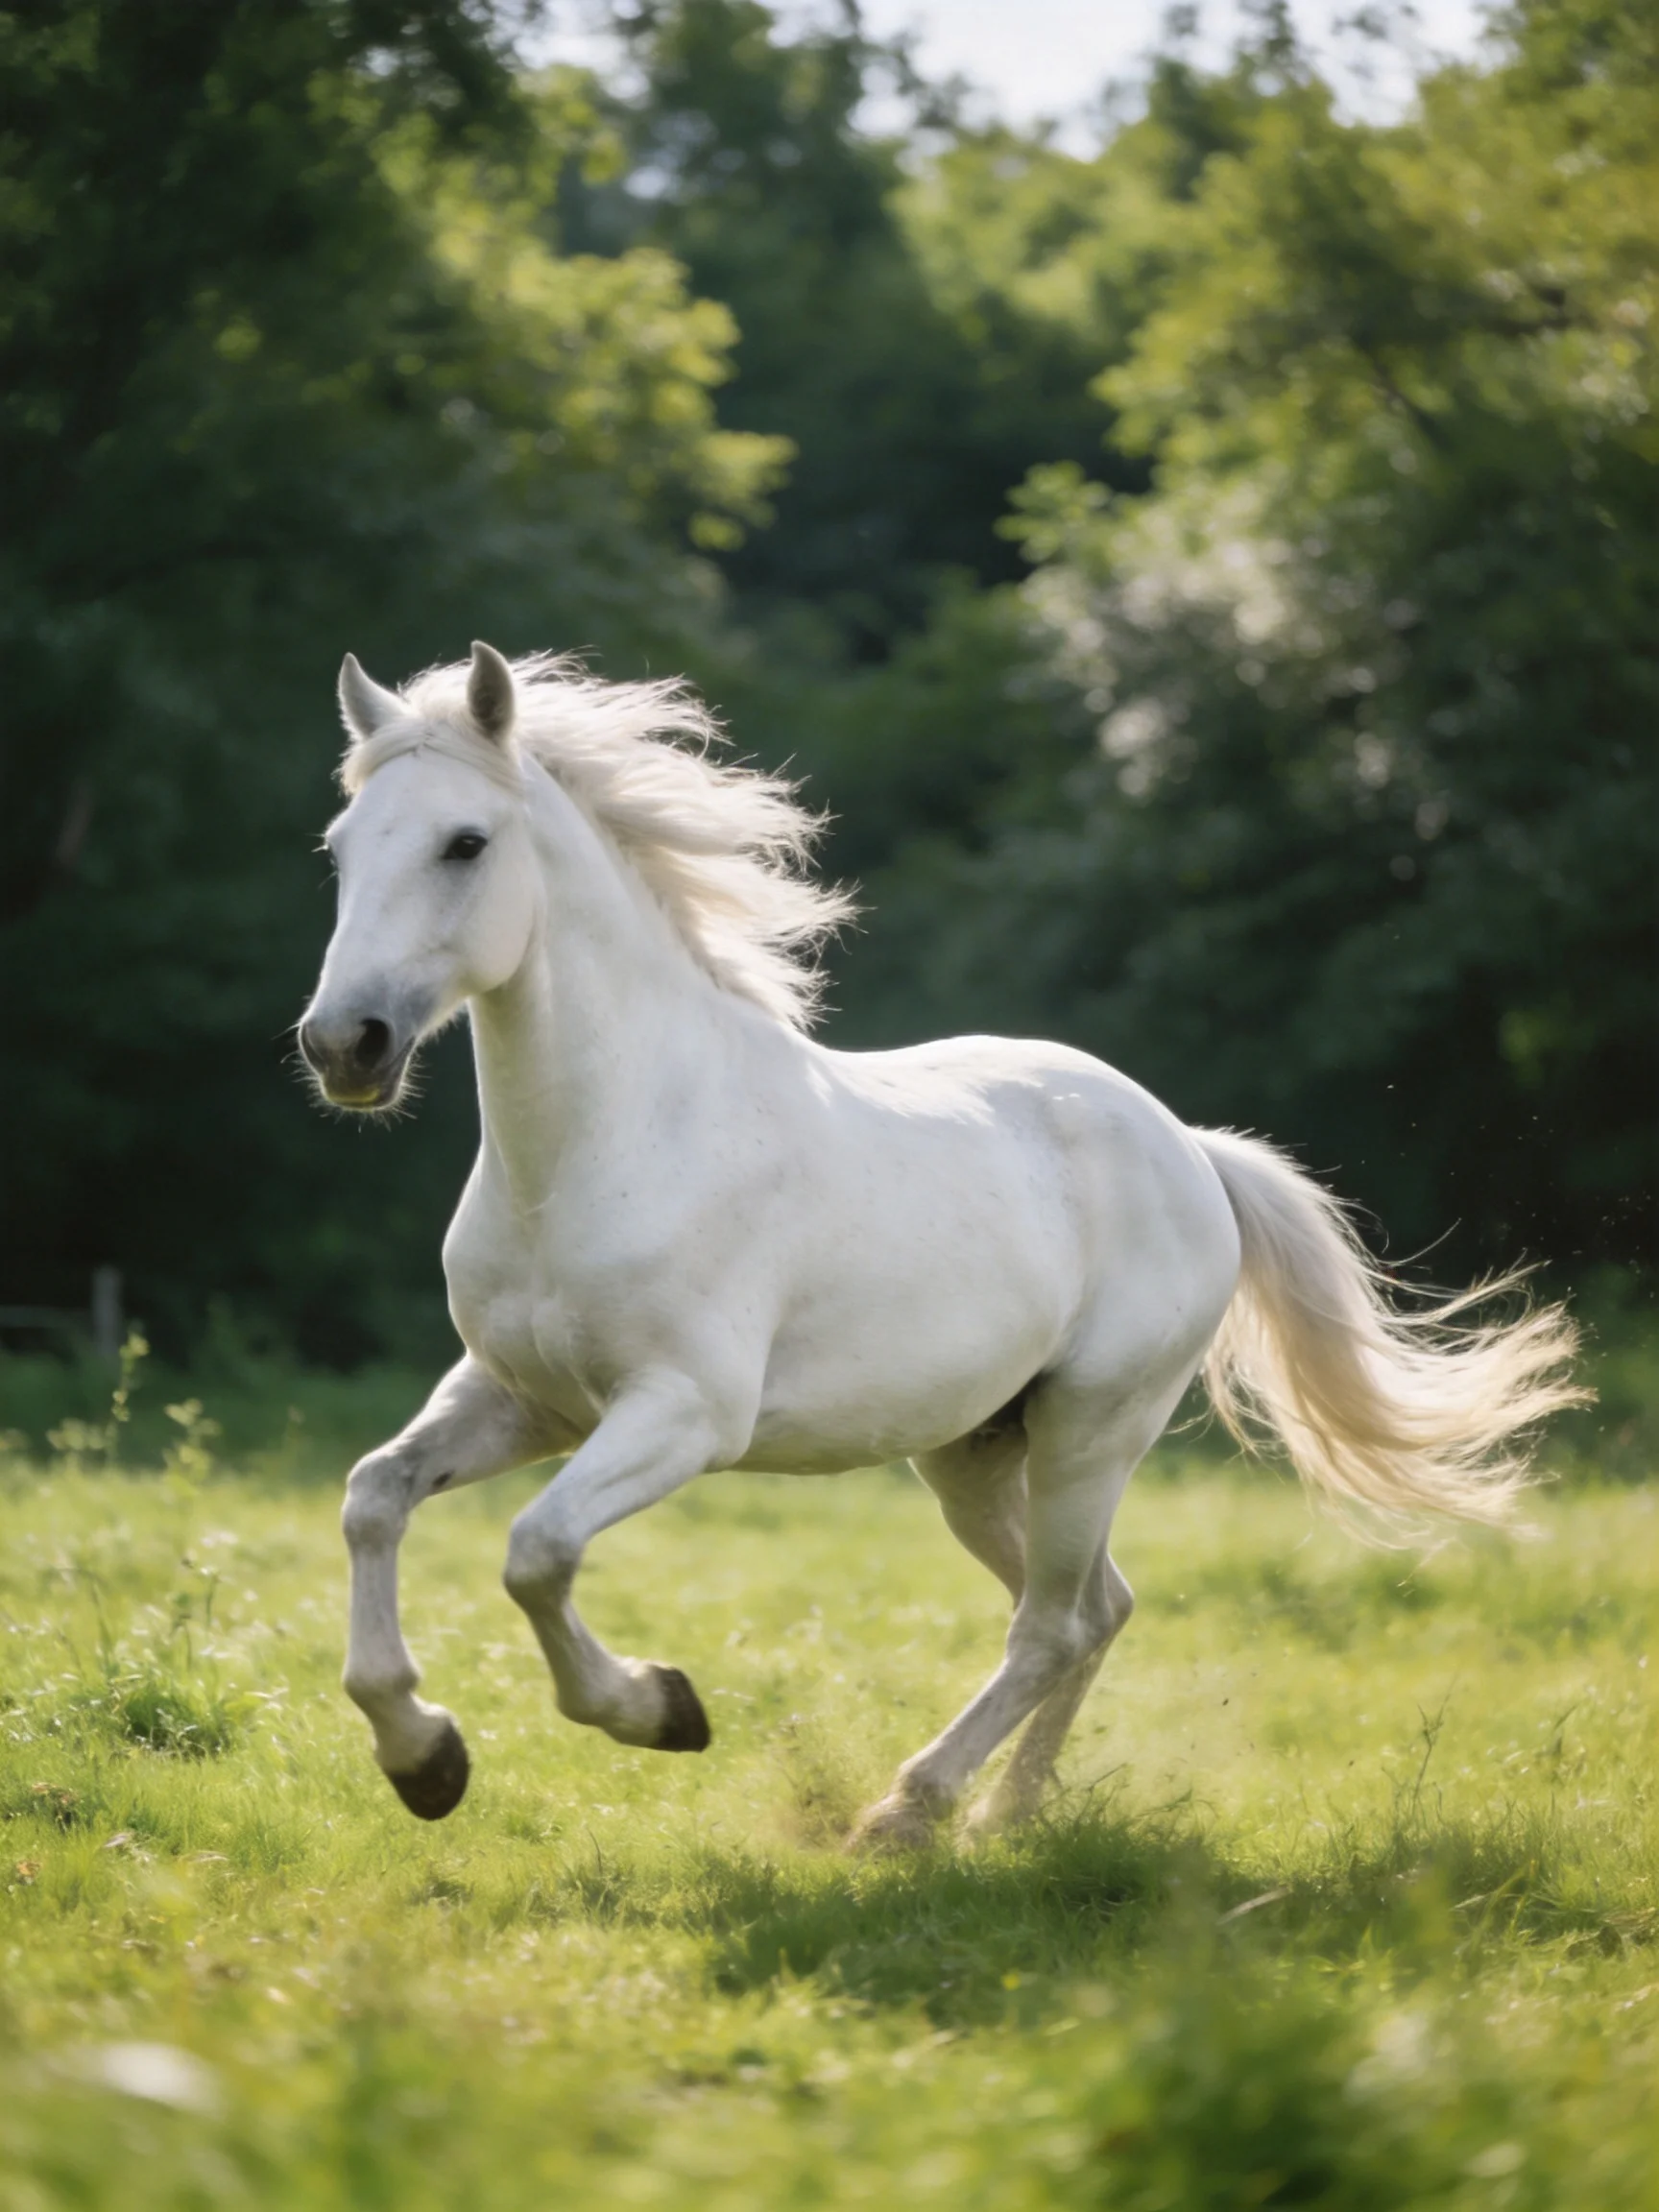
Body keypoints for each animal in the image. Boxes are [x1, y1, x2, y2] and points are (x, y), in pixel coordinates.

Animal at [298, 642, 1581, 1847]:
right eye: (342, 846)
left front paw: (660, 1710)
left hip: (1093, 1432)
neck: (603, 1147)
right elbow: (373, 1498)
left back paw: (908, 1814)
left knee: (1054, 1620)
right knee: (1095, 1610)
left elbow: (537, 1551)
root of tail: (1190, 1148)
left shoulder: (682, 1415)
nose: (343, 1045)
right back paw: (1006, 1817)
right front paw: (423, 1759)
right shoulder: (523, 1398)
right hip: (973, 1454)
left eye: (465, 843)